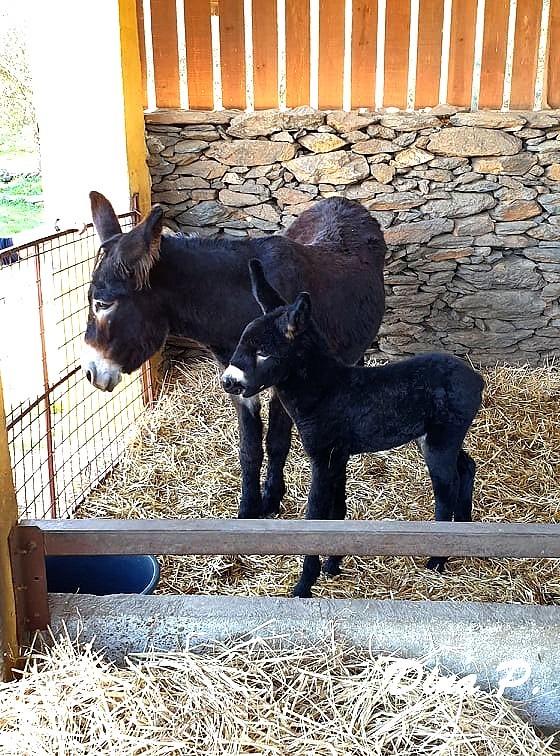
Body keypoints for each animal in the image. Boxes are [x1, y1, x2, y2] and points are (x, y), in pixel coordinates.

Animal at [82, 191, 387, 518]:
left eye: (102, 304)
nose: (89, 372)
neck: (236, 305)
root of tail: (341, 200)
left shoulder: (284, 378)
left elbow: (276, 442)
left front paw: (271, 499)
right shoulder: (233, 379)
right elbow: (249, 448)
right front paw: (248, 509)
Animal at [222, 260, 484, 598]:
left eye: (264, 352)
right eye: (242, 344)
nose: (228, 382)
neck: (328, 391)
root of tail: (476, 379)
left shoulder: (322, 454)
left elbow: (316, 513)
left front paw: (303, 586)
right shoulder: (339, 455)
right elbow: (337, 509)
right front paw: (333, 566)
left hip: (441, 440)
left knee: (446, 489)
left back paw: (437, 560)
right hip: (438, 437)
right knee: (466, 467)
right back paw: (465, 530)